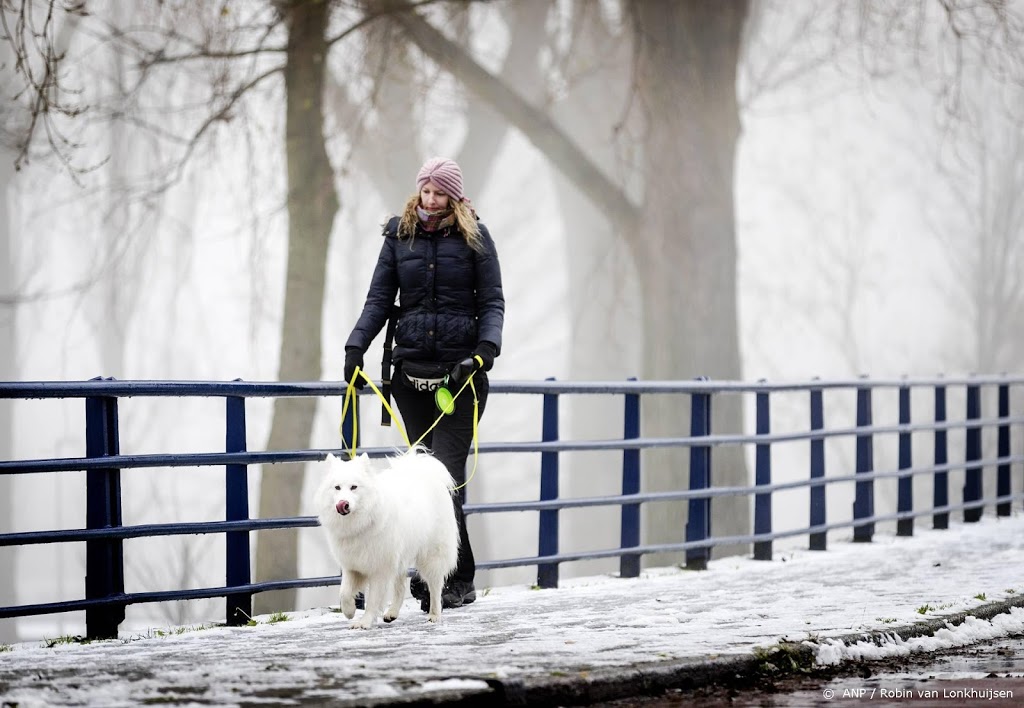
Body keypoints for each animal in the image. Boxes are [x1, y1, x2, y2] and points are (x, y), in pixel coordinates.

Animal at [309, 450, 458, 627]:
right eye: (337, 487)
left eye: (354, 487)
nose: (343, 503)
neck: (361, 524)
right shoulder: (352, 566)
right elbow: (344, 592)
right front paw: (349, 611)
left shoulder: (380, 569)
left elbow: (373, 600)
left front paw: (364, 622)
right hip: (400, 558)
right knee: (400, 588)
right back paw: (392, 613)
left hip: (431, 557)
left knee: (435, 587)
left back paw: (434, 615)